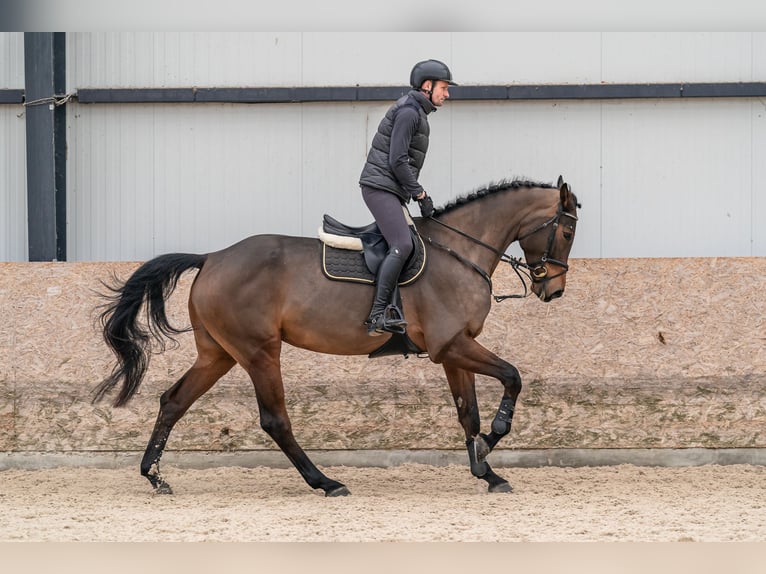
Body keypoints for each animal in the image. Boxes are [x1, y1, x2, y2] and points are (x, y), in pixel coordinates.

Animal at [91, 176, 584, 496]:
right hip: (259, 352)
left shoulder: (450, 350)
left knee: (173, 402)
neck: (460, 251)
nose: (554, 290)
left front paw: (486, 471)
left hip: (219, 354)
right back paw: (325, 482)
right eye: (567, 230)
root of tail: (212, 257)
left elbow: (468, 414)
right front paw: (492, 443)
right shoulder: (452, 345)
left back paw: (155, 476)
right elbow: (512, 377)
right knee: (275, 420)